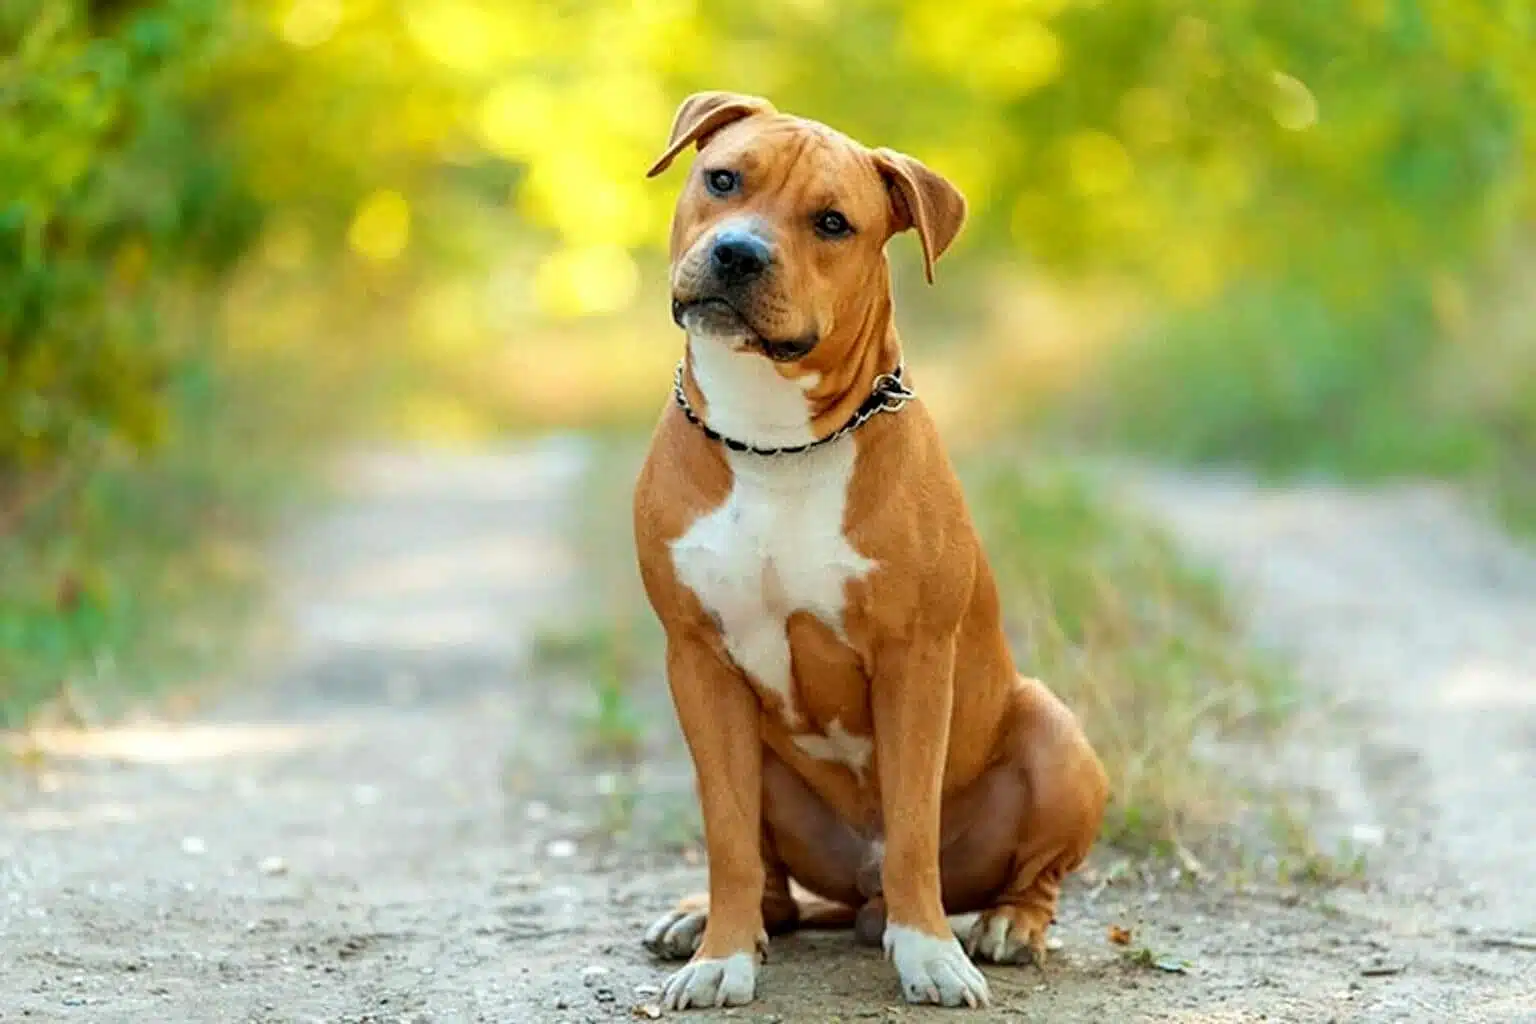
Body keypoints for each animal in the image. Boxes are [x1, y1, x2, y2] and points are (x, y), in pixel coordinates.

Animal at [629, 92, 1112, 1013]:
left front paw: (928, 954)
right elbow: (727, 835)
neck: (772, 440)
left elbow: (915, 826)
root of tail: (855, 896)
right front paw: (722, 956)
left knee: (1030, 871)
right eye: (723, 180)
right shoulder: (696, 660)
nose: (738, 251)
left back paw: (1009, 924)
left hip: (1057, 735)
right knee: (767, 873)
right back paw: (714, 918)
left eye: (832, 223)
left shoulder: (914, 660)